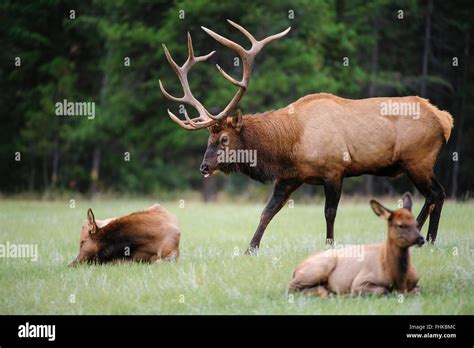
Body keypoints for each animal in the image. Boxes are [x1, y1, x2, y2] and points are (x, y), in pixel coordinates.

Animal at [158, 19, 452, 253]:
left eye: (224, 140)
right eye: (208, 140)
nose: (204, 166)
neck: (290, 144)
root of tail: (445, 119)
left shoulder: (334, 169)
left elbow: (329, 212)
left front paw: (329, 246)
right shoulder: (290, 177)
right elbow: (267, 212)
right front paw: (250, 249)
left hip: (419, 159)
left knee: (437, 193)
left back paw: (428, 239)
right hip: (415, 163)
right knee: (433, 195)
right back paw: (419, 236)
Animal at [286, 193, 424, 296]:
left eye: (416, 224)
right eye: (400, 225)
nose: (421, 239)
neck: (400, 281)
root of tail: (295, 269)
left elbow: (417, 290)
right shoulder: (360, 281)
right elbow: (383, 290)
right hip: (319, 267)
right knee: (291, 287)